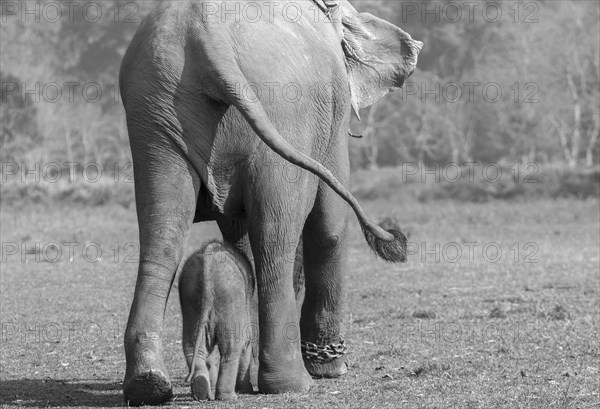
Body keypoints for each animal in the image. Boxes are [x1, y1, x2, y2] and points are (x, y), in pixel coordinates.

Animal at [180, 241, 260, 400]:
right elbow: (246, 343)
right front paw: (245, 390)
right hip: (230, 300)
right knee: (232, 347)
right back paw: (229, 397)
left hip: (190, 302)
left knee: (192, 346)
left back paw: (201, 390)